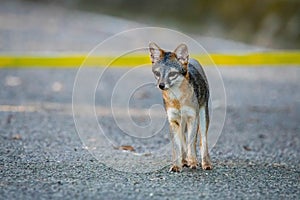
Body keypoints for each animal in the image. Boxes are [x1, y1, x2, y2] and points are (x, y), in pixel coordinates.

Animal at [149, 42, 212, 172]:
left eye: (172, 74)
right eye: (157, 73)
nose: (161, 85)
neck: (177, 99)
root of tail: (192, 59)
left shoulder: (193, 117)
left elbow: (191, 143)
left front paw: (193, 161)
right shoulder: (173, 120)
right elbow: (177, 146)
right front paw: (177, 165)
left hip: (203, 118)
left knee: (202, 141)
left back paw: (205, 163)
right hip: (182, 123)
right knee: (183, 139)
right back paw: (183, 161)